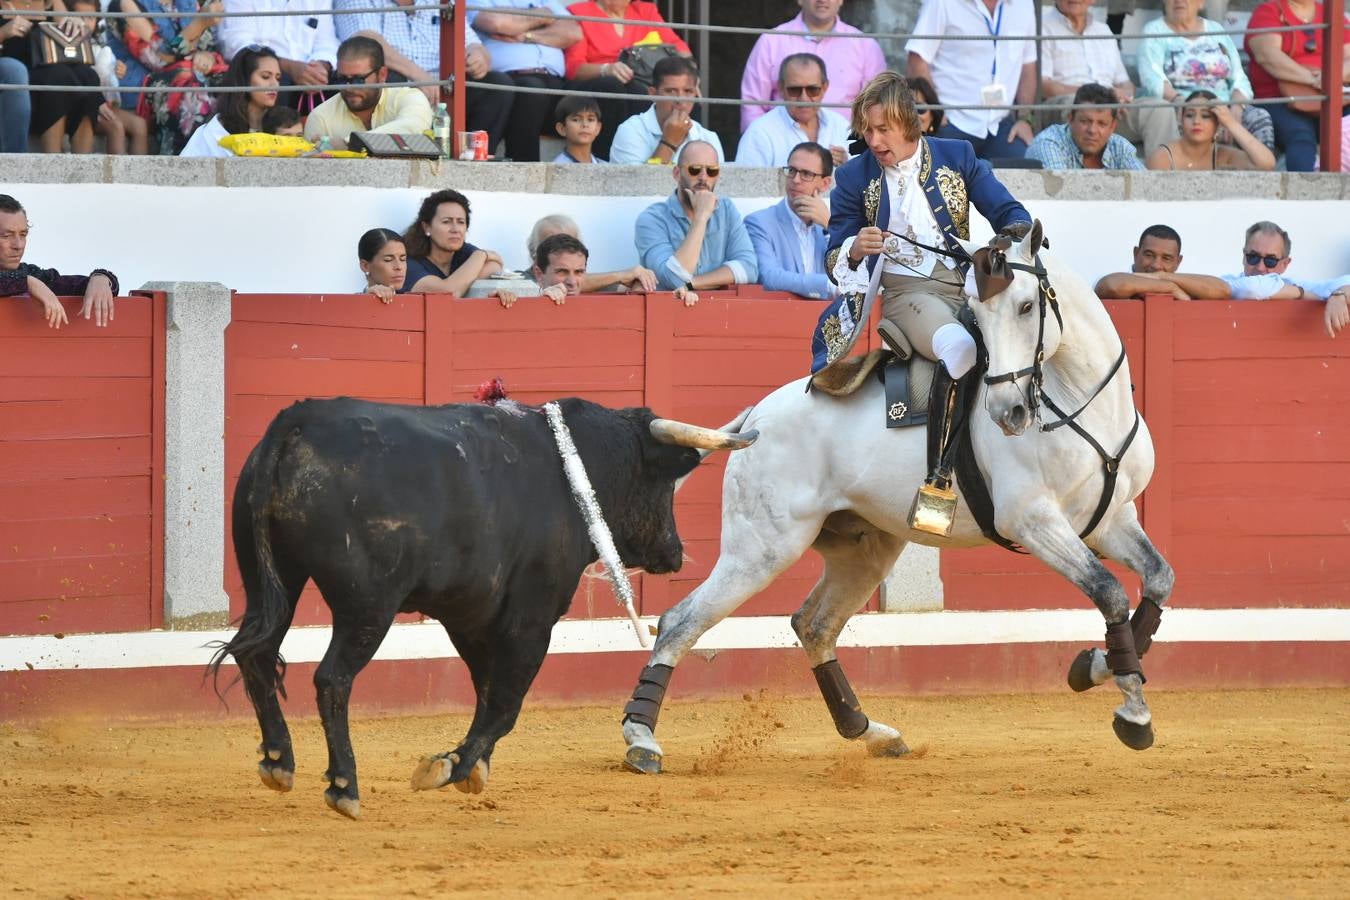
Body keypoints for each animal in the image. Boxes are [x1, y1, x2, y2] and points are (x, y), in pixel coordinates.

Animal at [211, 396, 761, 820]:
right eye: (664, 483)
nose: (675, 552)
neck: (576, 468)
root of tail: (296, 421)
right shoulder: (533, 617)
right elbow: (506, 702)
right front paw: (449, 767)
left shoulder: (471, 615)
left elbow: (487, 689)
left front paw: (473, 766)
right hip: (367, 605)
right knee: (332, 678)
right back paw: (344, 785)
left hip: (272, 581)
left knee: (256, 655)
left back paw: (278, 761)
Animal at [618, 219, 1171, 777]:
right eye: (980, 318)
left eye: (1025, 306)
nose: (1007, 413)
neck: (1080, 399)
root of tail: (758, 415)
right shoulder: (1033, 521)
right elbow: (1110, 591)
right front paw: (1133, 714)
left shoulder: (1111, 519)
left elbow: (1158, 579)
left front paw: (1094, 666)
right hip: (761, 549)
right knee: (680, 621)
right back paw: (641, 738)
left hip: (863, 550)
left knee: (814, 625)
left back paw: (870, 732)